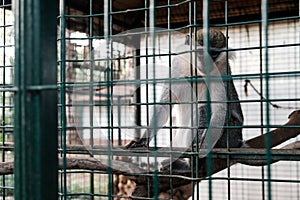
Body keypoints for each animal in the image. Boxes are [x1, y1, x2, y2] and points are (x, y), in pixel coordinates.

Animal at [125, 29, 244, 170]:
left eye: (213, 54)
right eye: (200, 53)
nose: (206, 63)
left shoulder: (222, 71)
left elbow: (220, 109)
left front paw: (203, 145)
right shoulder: (177, 64)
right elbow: (164, 104)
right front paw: (143, 139)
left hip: (231, 135)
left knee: (202, 109)